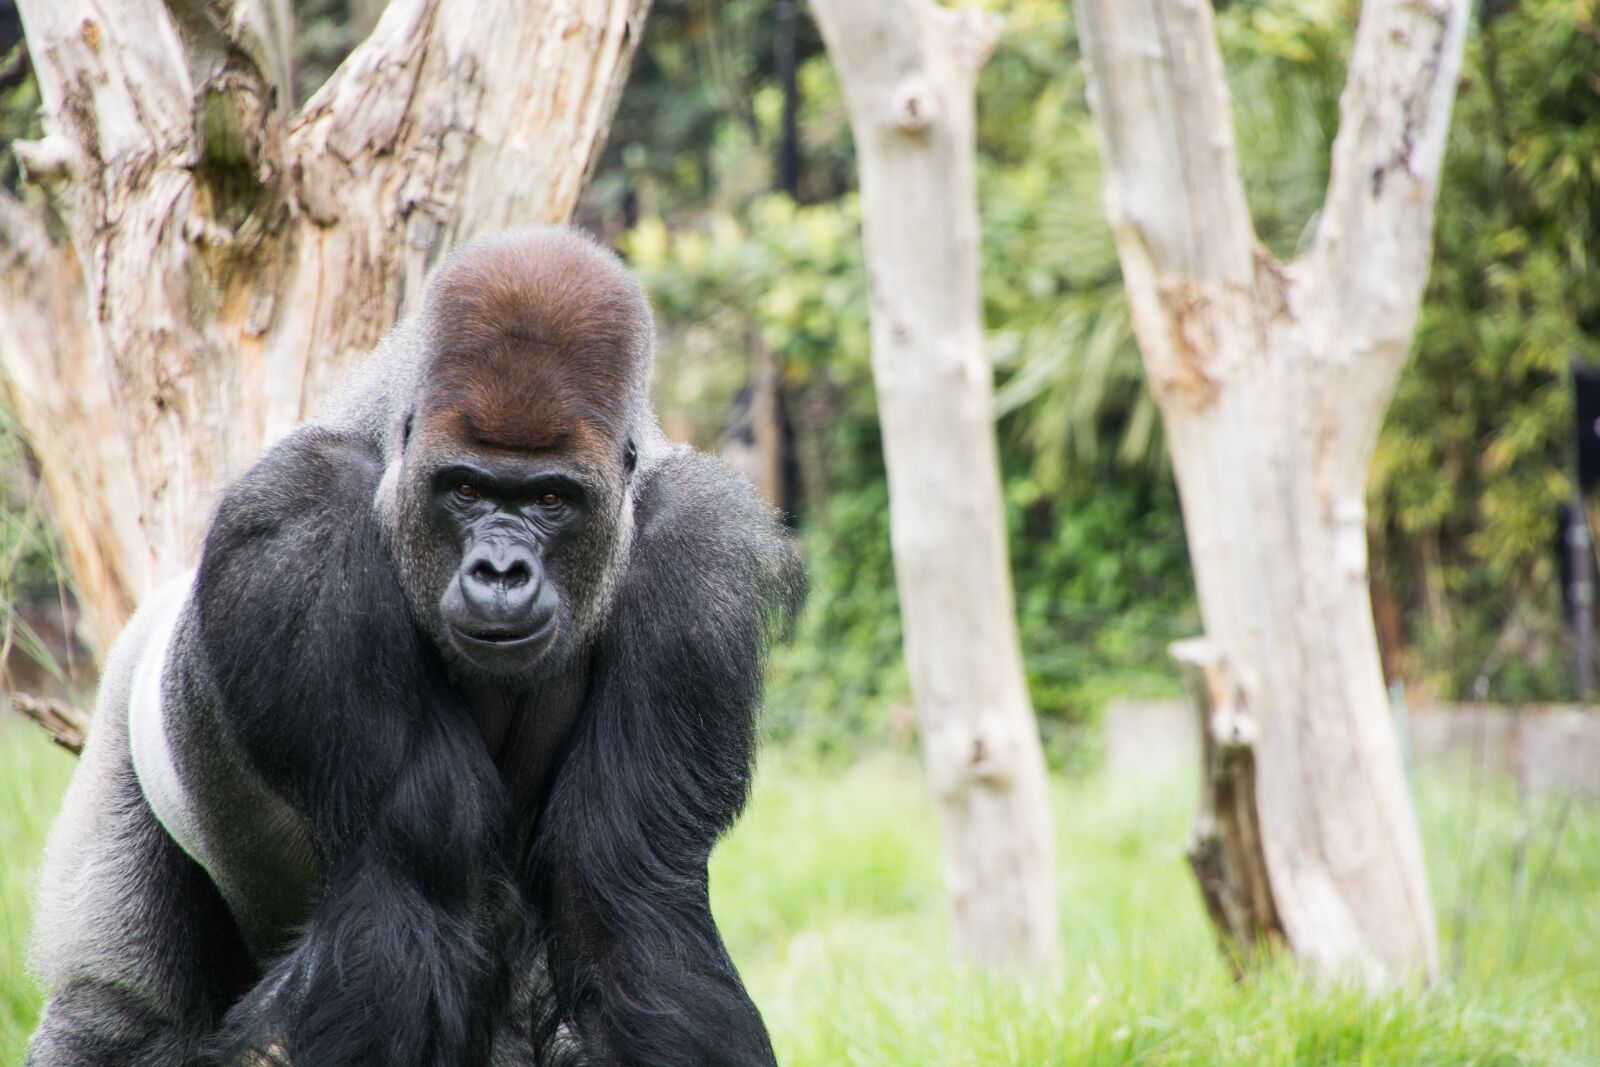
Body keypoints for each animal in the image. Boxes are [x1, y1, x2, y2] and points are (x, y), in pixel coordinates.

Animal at [24, 227, 801, 1067]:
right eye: (465, 489)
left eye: (551, 499)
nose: (501, 572)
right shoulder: (301, 527)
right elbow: (413, 886)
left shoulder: (698, 563)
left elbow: (626, 904)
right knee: (116, 1007)